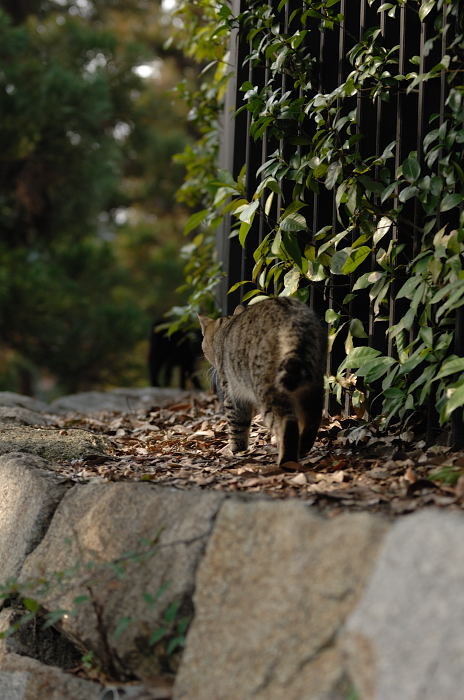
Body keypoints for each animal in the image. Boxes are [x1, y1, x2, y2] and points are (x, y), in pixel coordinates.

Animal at [198, 296, 326, 464]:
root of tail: (292, 317)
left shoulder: (232, 393)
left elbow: (237, 425)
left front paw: (236, 450)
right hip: (313, 382)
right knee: (313, 417)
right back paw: (303, 448)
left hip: (266, 388)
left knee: (287, 423)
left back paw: (286, 461)